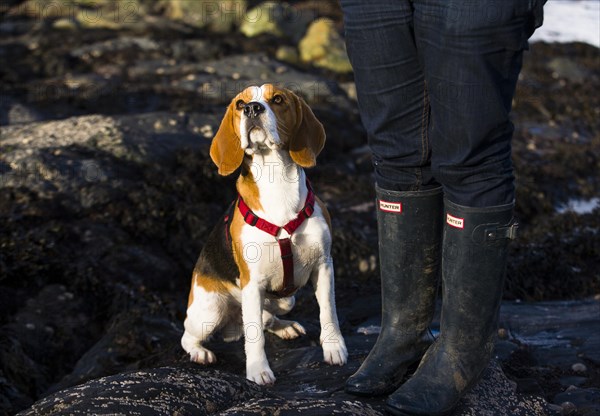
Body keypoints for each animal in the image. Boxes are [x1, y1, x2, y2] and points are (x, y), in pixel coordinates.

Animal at [180, 83, 346, 386]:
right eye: (240, 103)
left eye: (277, 99)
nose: (252, 108)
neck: (275, 177)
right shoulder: (252, 282)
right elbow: (254, 334)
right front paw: (258, 370)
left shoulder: (324, 266)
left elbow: (329, 311)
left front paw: (334, 347)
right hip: (210, 310)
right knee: (189, 335)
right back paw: (200, 352)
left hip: (287, 299)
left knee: (268, 316)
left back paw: (285, 326)